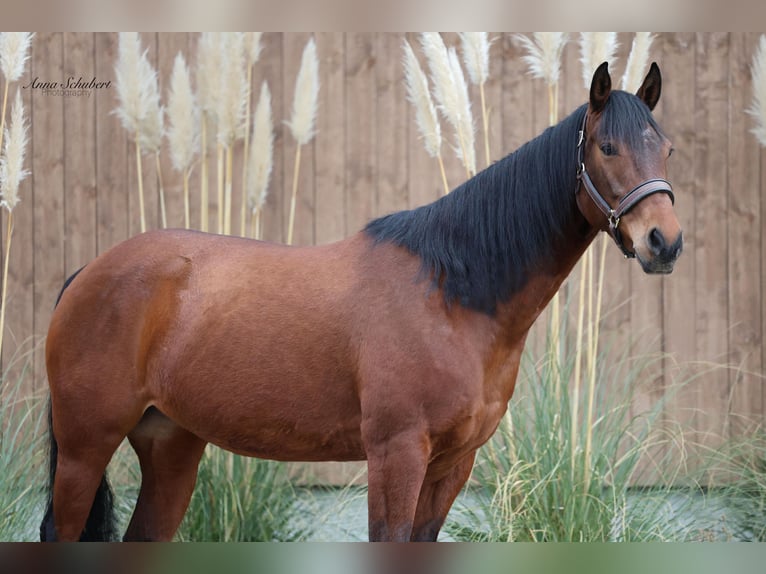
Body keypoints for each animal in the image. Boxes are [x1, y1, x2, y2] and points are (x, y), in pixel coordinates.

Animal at [40, 62, 681, 542]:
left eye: (668, 149)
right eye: (606, 146)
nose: (664, 241)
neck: (451, 295)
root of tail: (90, 272)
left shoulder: (452, 464)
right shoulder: (396, 454)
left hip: (170, 444)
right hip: (84, 447)